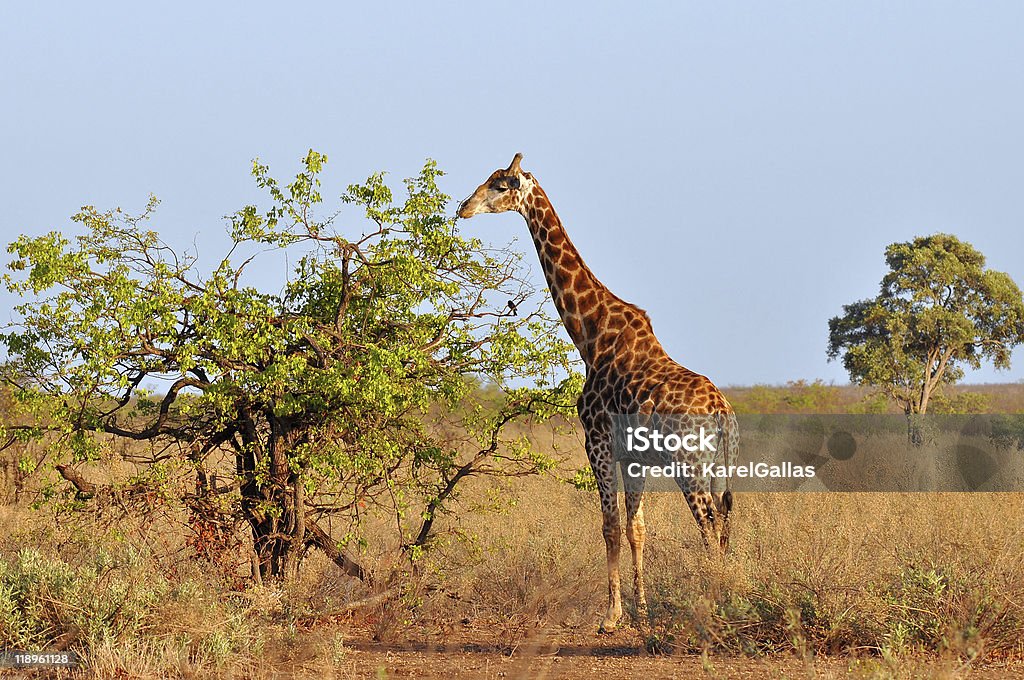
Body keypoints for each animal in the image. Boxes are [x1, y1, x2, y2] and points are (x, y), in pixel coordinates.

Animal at [456, 152, 737, 630]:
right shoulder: (633, 456)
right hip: (719, 466)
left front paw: (611, 615)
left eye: (501, 184)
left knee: (708, 525)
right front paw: (641, 611)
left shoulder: (598, 441)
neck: (590, 335)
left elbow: (608, 526)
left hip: (689, 464)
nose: (463, 208)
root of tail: (723, 414)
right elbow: (636, 528)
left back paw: (712, 605)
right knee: (724, 522)